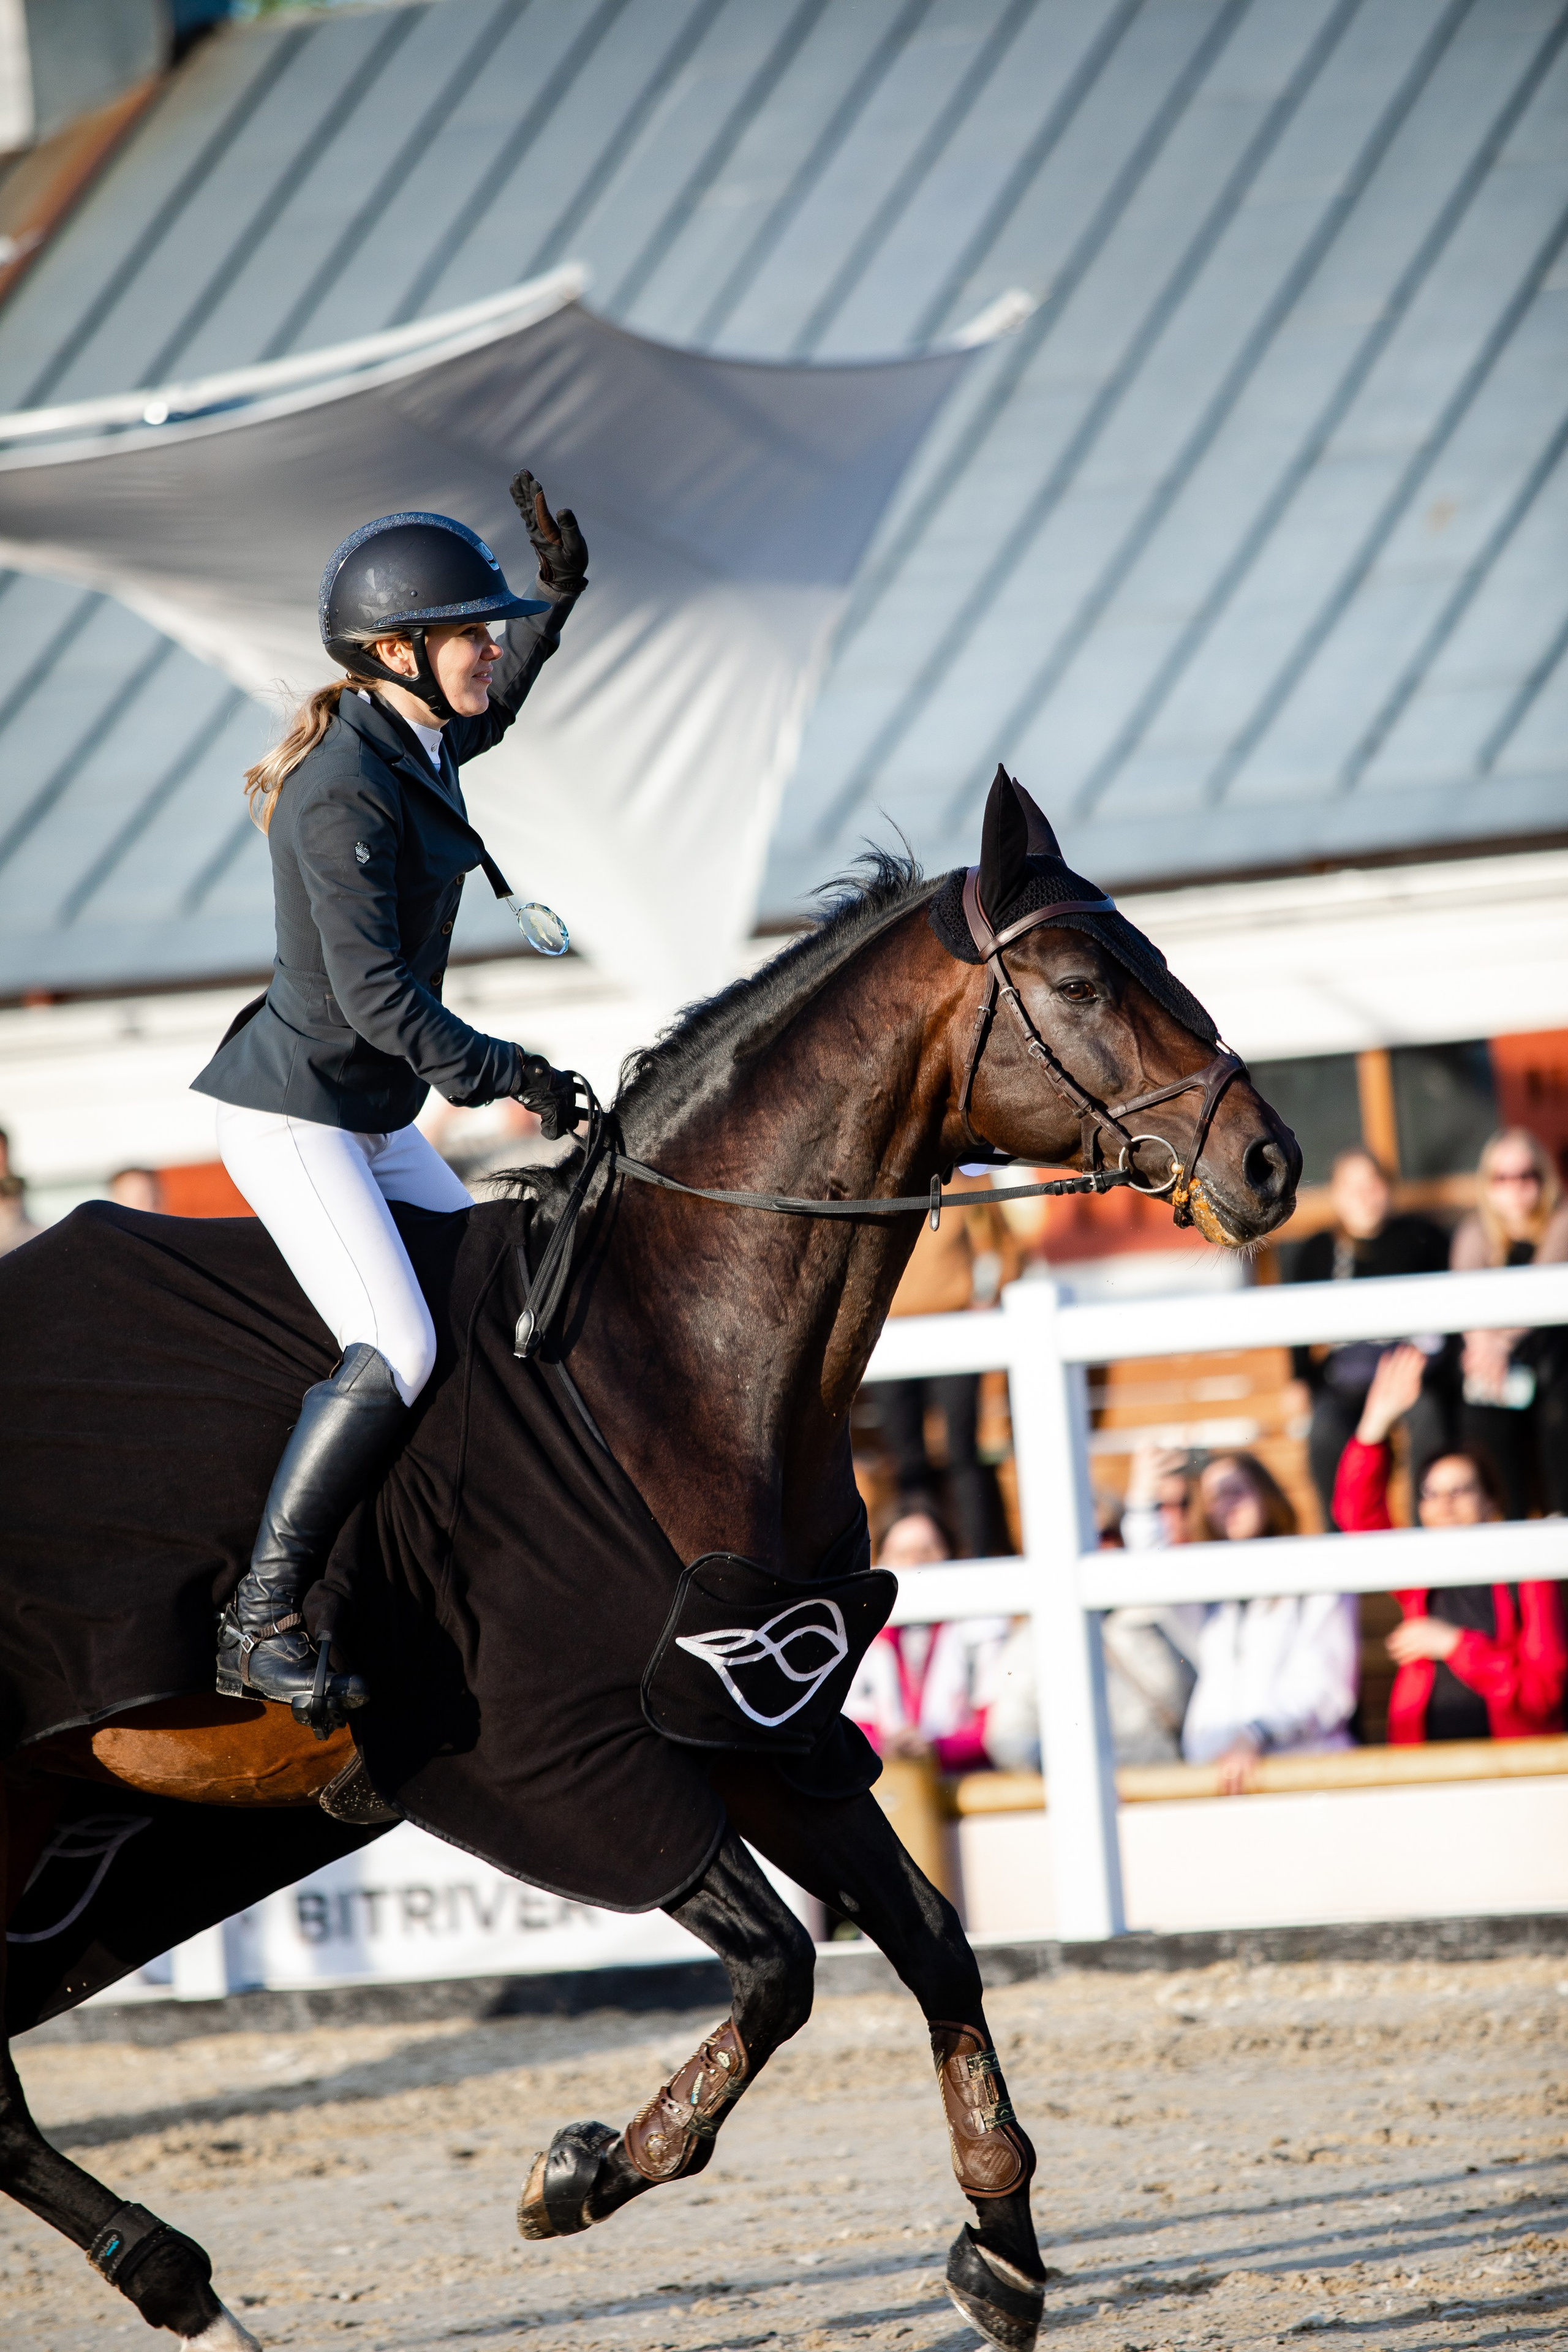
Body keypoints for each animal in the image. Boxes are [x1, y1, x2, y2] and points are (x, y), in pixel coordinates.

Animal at [0, 770, 1299, 2350]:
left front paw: (1001, 2249)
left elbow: (928, 1935)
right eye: (1075, 981)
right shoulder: (564, 1754)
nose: (1267, 1163)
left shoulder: (759, 1719)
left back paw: (174, 2279)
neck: (675, 1354)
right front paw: (584, 2171)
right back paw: (177, 2276)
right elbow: (783, 1965)